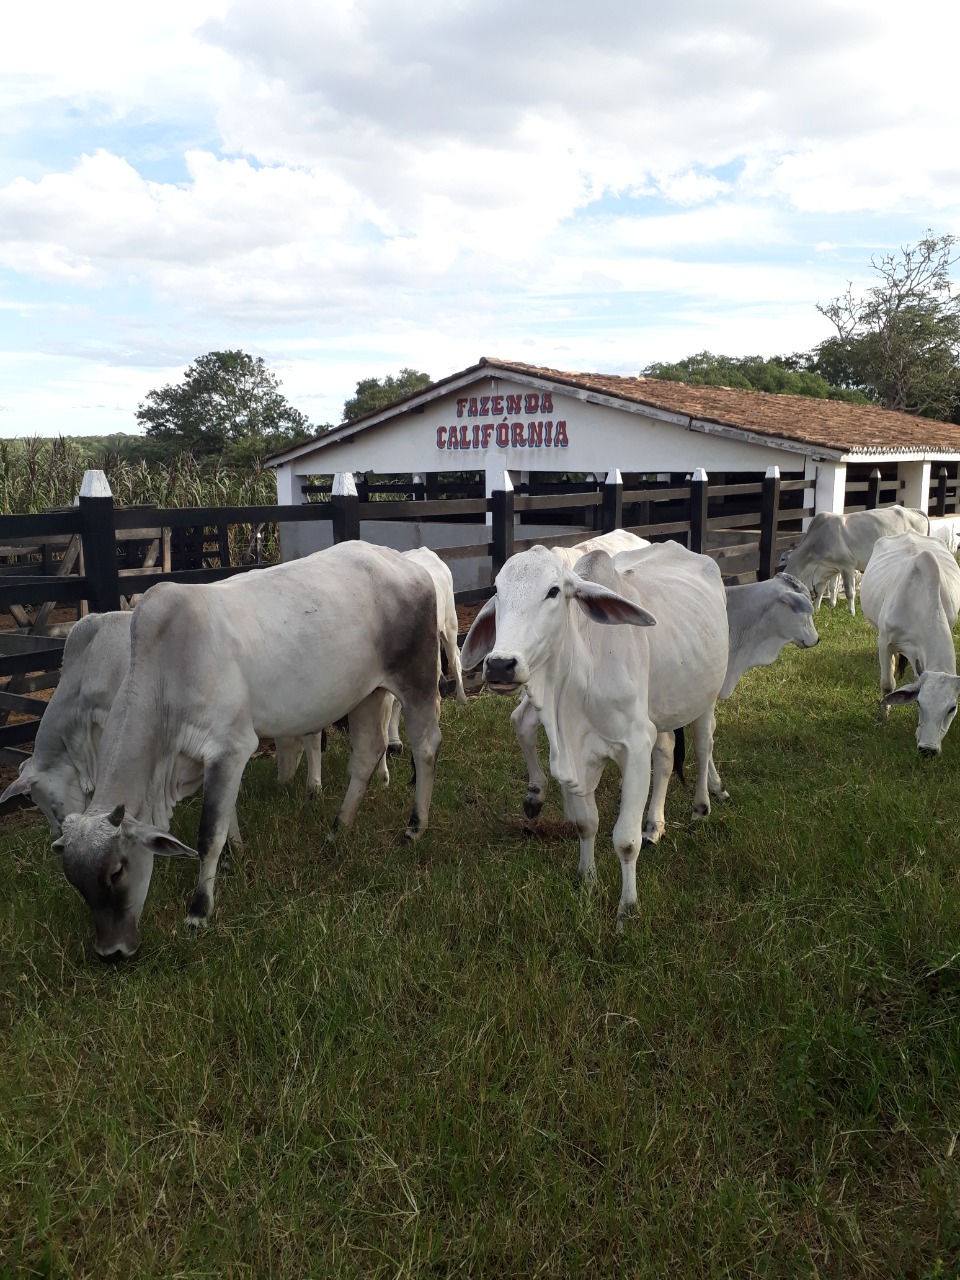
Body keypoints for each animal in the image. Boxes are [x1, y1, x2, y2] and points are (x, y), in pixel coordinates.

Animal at [463, 540, 727, 921]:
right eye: (497, 590)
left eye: (554, 591)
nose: (499, 665)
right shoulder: (579, 756)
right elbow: (586, 823)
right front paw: (586, 882)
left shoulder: (634, 746)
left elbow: (625, 841)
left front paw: (627, 909)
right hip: (661, 709)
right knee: (665, 755)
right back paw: (654, 825)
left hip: (705, 696)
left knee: (704, 744)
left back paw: (700, 807)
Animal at [783, 504, 931, 614]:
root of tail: (912, 510)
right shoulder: (827, 568)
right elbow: (823, 589)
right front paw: (818, 608)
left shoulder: (847, 566)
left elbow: (849, 592)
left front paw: (851, 612)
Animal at [860, 527, 960, 747]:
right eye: (920, 704)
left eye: (952, 708)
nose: (928, 749)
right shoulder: (885, 642)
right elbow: (887, 684)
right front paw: (884, 718)